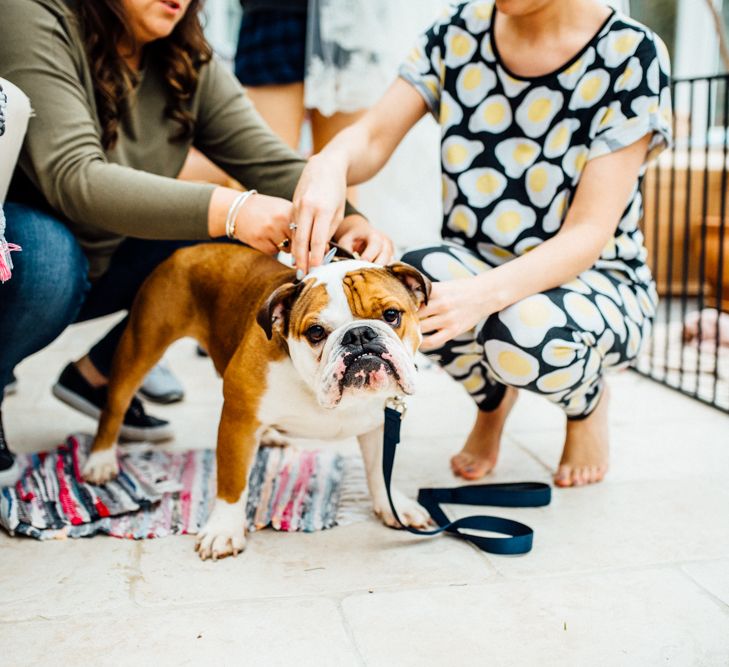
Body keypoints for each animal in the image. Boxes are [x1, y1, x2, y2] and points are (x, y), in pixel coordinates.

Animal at [81, 244, 432, 560]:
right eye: (316, 332)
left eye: (391, 315)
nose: (359, 335)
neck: (314, 387)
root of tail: (192, 248)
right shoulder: (239, 419)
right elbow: (232, 479)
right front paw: (224, 530)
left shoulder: (380, 422)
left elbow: (380, 469)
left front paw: (394, 506)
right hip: (141, 345)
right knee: (115, 406)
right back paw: (100, 461)